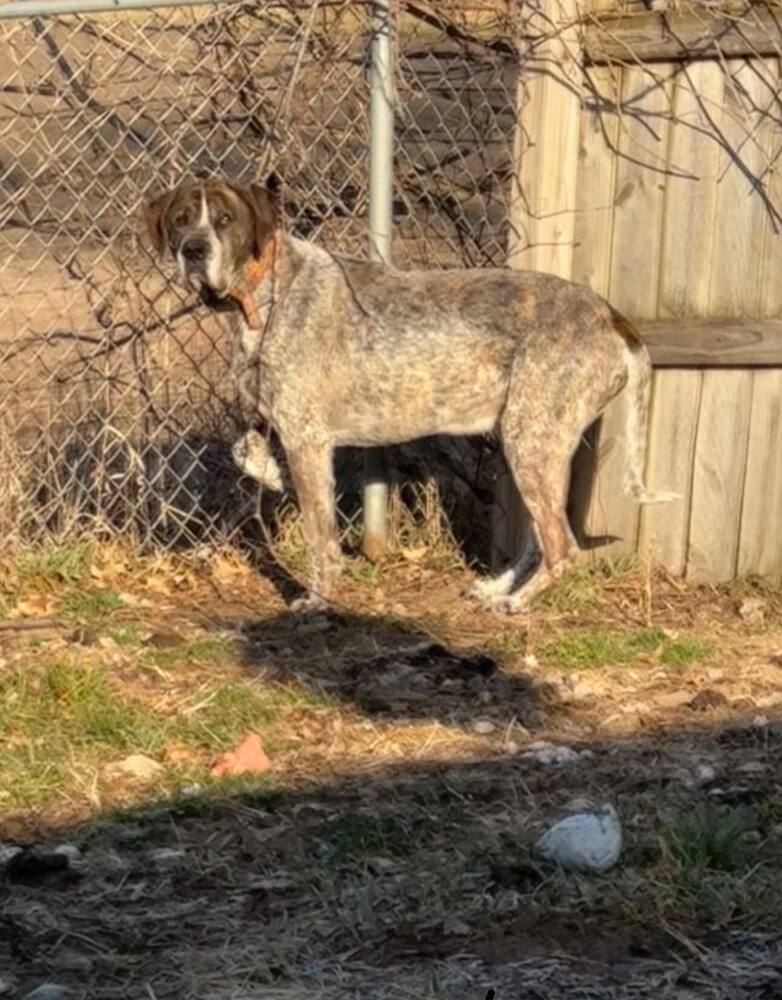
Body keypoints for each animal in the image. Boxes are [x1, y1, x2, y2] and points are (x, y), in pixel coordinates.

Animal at [145, 179, 680, 612]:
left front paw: (318, 598)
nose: (193, 250)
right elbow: (244, 449)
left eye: (225, 220)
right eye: (180, 219)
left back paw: (515, 603)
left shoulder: (307, 439)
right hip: (529, 443)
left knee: (561, 543)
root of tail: (609, 315)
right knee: (539, 536)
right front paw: (270, 473)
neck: (263, 297)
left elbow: (321, 537)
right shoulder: (277, 423)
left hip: (531, 444)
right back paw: (497, 588)